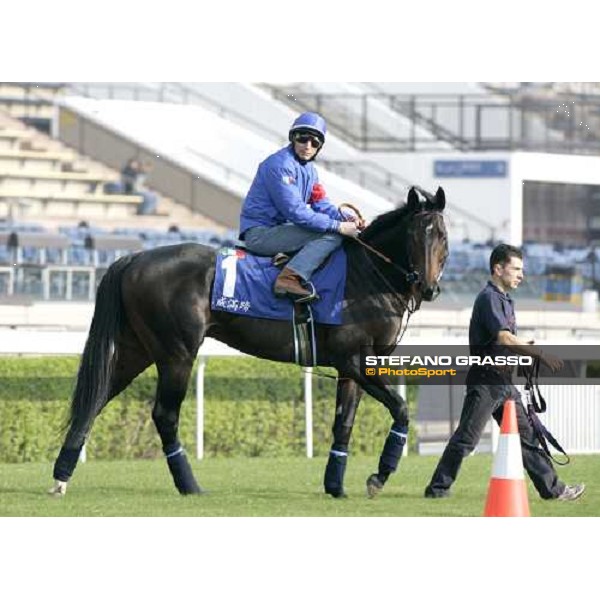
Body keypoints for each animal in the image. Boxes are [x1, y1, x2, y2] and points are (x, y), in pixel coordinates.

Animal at [49, 185, 448, 500]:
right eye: (415, 235)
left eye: (442, 236)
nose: (428, 288)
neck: (365, 277)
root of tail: (134, 257)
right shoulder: (354, 360)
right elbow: (401, 408)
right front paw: (379, 475)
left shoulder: (351, 368)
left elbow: (343, 424)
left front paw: (335, 486)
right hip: (177, 353)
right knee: (164, 414)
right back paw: (189, 484)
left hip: (136, 349)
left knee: (94, 400)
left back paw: (61, 478)